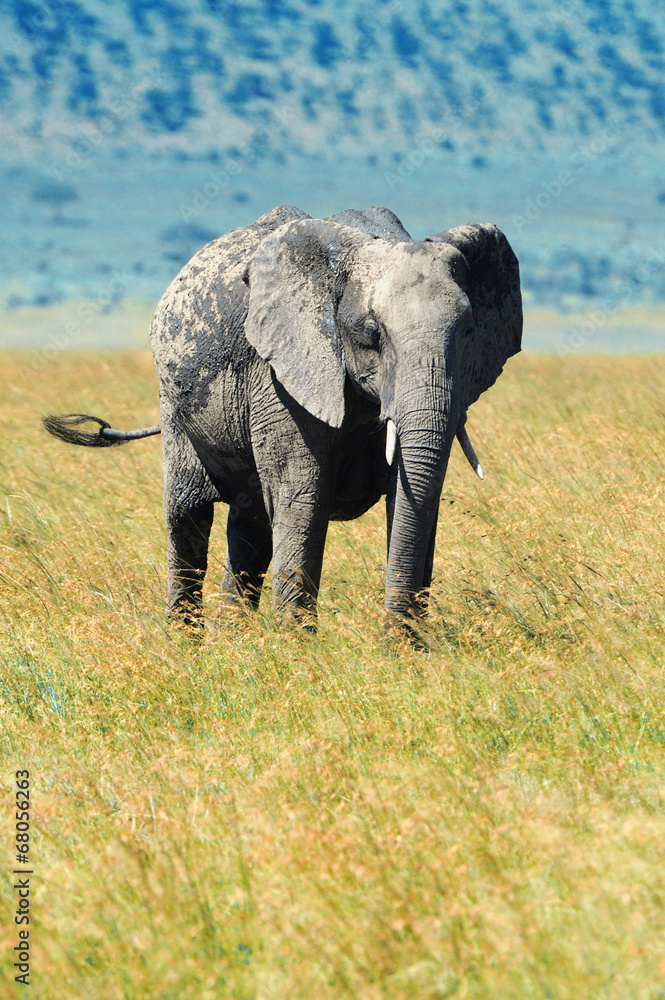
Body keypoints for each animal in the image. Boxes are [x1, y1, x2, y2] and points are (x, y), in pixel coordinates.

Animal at [44, 204, 522, 632]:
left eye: (468, 332)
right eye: (372, 333)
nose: (394, 640)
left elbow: (417, 501)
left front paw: (411, 651)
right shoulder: (277, 378)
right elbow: (302, 499)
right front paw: (299, 650)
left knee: (250, 527)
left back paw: (234, 643)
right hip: (173, 404)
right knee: (188, 516)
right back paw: (186, 645)